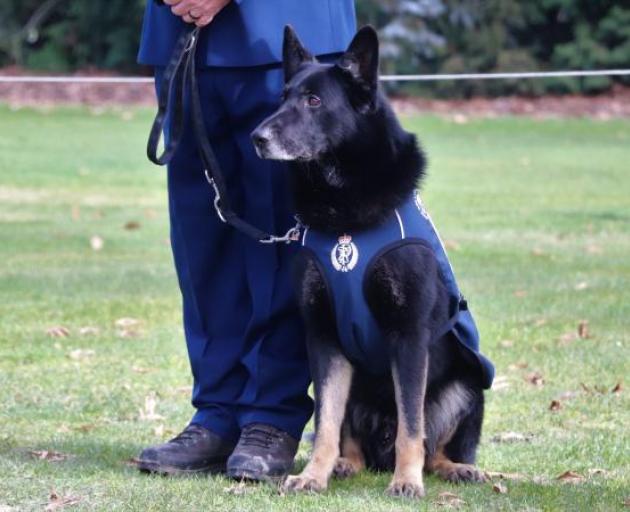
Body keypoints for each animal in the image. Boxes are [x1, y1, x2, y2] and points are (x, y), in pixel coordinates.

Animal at [254, 26, 492, 498]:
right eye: (283, 98)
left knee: (434, 445)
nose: (257, 137)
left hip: (469, 382)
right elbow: (326, 424)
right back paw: (345, 464)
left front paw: (407, 481)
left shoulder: (409, 336)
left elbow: (412, 426)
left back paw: (455, 468)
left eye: (314, 101)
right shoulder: (323, 339)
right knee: (350, 437)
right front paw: (314, 475)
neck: (344, 208)